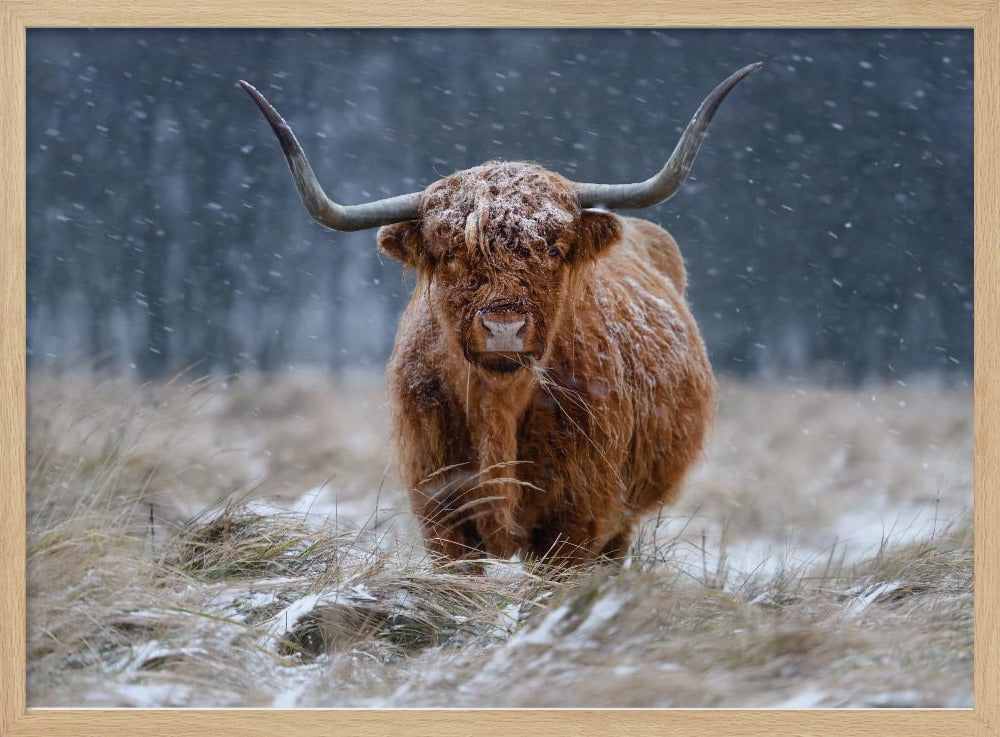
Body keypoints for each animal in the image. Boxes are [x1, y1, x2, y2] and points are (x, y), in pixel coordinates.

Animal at [240, 62, 761, 567]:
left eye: (552, 249)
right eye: (451, 253)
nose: (504, 328)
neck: (498, 409)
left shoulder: (578, 518)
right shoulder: (441, 514)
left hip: (623, 519)